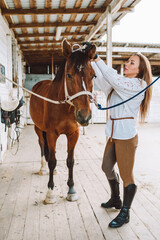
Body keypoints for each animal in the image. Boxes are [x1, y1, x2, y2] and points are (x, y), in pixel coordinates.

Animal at [29, 39, 95, 204]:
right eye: (69, 75)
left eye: (93, 76)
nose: (84, 116)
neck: (64, 107)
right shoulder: (51, 134)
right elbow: (52, 160)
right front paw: (50, 193)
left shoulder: (73, 134)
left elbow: (70, 160)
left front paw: (71, 190)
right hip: (39, 129)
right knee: (42, 146)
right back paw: (43, 168)